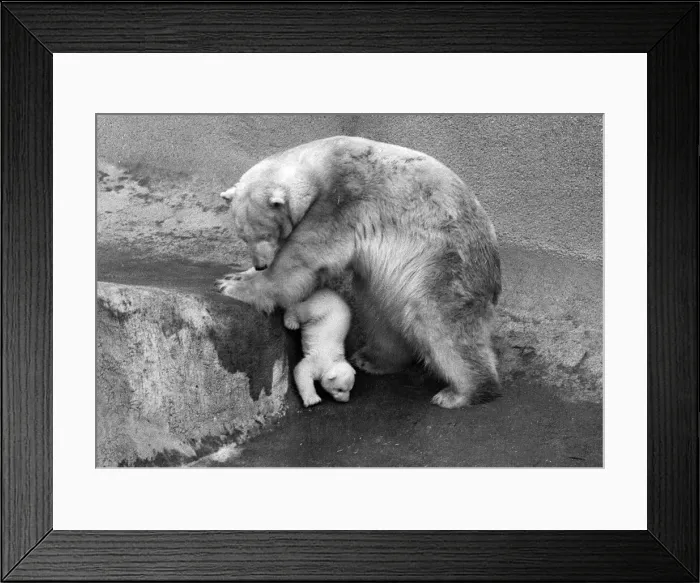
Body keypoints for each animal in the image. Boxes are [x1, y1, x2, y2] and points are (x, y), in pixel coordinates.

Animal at [217, 136, 501, 409]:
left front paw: (235, 288)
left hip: (443, 261)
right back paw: (372, 359)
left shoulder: (340, 201)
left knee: (440, 321)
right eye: (243, 236)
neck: (321, 165)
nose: (260, 264)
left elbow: (300, 260)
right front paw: (236, 276)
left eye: (265, 234)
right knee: (379, 309)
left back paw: (462, 393)